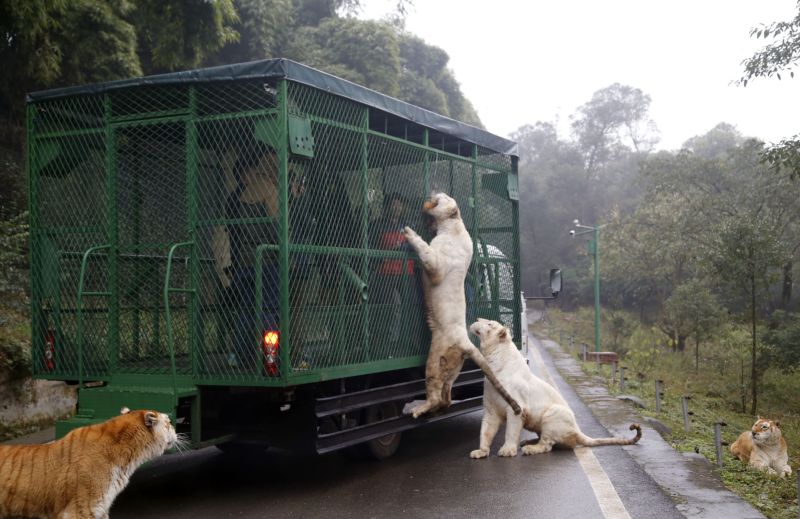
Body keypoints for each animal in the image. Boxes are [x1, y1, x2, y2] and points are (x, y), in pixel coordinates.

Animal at [404, 193, 520, 420]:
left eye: (442, 198)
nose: (433, 193)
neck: (453, 224)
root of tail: (466, 342)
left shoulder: (437, 265)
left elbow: (426, 252)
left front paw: (409, 232)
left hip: (436, 355)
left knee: (435, 391)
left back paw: (419, 410)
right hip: (452, 367)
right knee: (447, 396)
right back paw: (436, 409)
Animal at [466, 316, 640, 460]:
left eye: (490, 323)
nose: (477, 318)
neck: (492, 361)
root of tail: (577, 430)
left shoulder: (517, 408)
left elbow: (511, 430)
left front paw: (507, 450)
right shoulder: (490, 408)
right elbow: (485, 431)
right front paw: (480, 451)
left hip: (553, 414)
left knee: (547, 444)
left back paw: (530, 448)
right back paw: (527, 441)